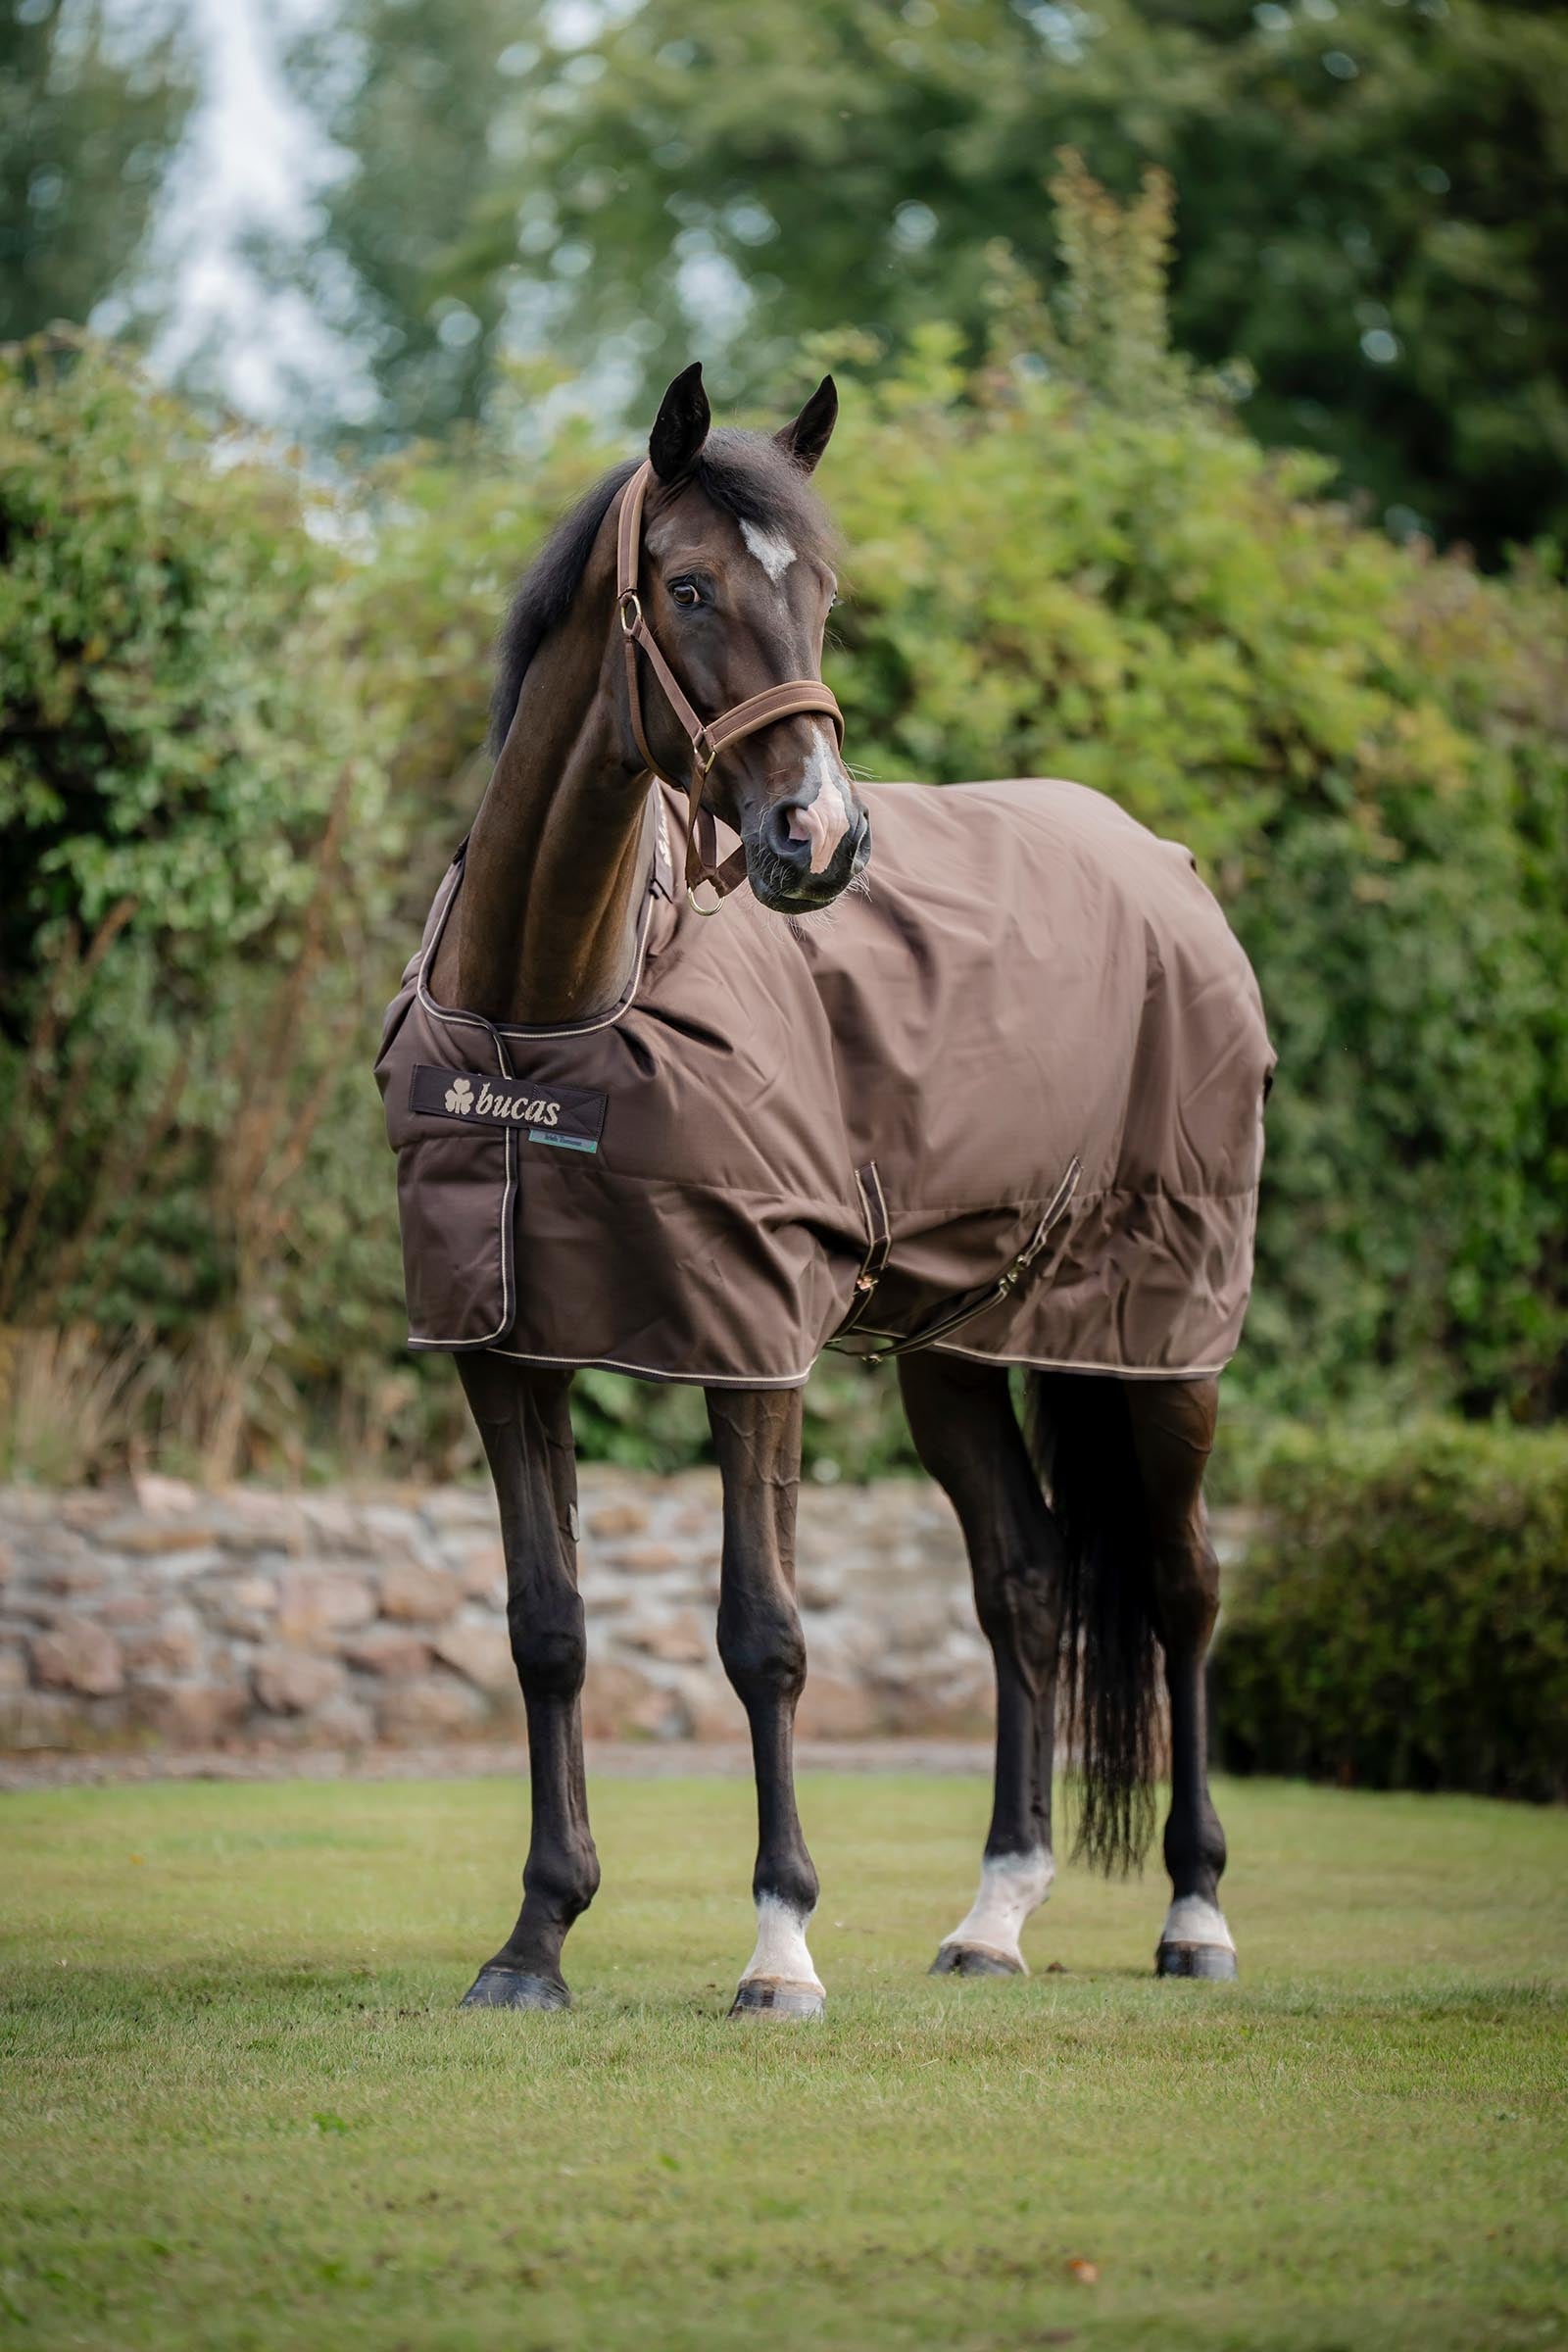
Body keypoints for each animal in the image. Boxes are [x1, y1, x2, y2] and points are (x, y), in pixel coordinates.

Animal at [376, 361, 1274, 2018]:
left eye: (824, 596)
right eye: (687, 587)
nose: (822, 837)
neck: (550, 1010)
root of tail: (1167, 866)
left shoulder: (752, 1344)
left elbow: (765, 1635)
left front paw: (779, 1944)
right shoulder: (503, 1348)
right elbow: (548, 1629)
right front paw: (535, 1940)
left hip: (1165, 1343)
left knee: (1184, 1587)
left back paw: (1195, 1915)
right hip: (960, 1348)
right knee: (1024, 1585)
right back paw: (995, 1916)